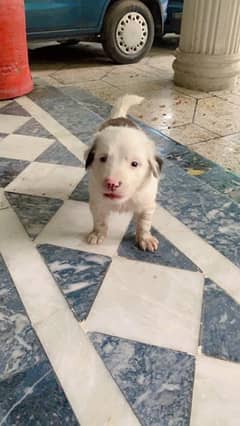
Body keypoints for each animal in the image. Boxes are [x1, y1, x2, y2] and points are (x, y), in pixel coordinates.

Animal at [85, 95, 162, 251]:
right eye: (103, 159)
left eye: (134, 164)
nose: (112, 183)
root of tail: (118, 116)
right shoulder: (98, 202)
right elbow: (100, 221)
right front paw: (97, 234)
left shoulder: (146, 203)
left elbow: (144, 223)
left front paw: (145, 239)